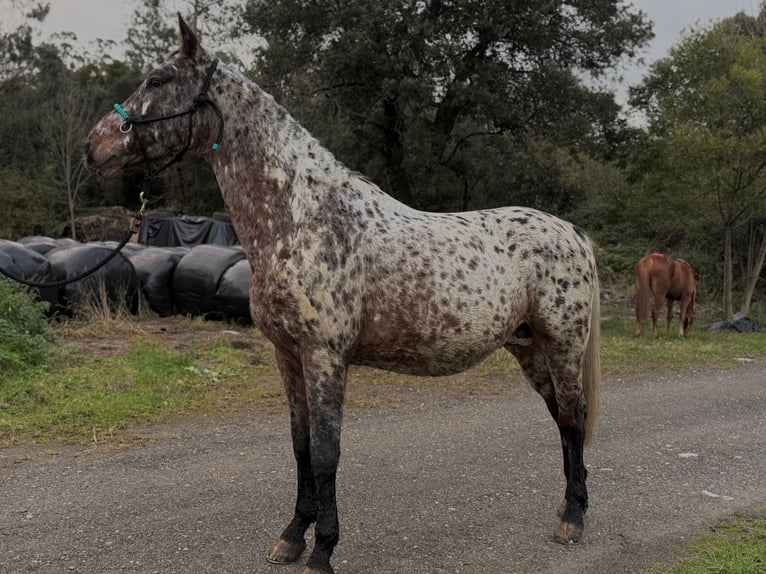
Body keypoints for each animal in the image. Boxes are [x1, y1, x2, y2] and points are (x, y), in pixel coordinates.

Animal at [85, 17, 601, 574]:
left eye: (157, 80)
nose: (94, 147)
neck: (300, 218)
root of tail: (572, 232)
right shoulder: (287, 355)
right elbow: (301, 447)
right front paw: (293, 536)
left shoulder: (325, 356)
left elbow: (327, 452)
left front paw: (322, 550)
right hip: (528, 348)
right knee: (561, 419)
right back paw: (568, 506)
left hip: (562, 345)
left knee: (573, 417)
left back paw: (573, 519)